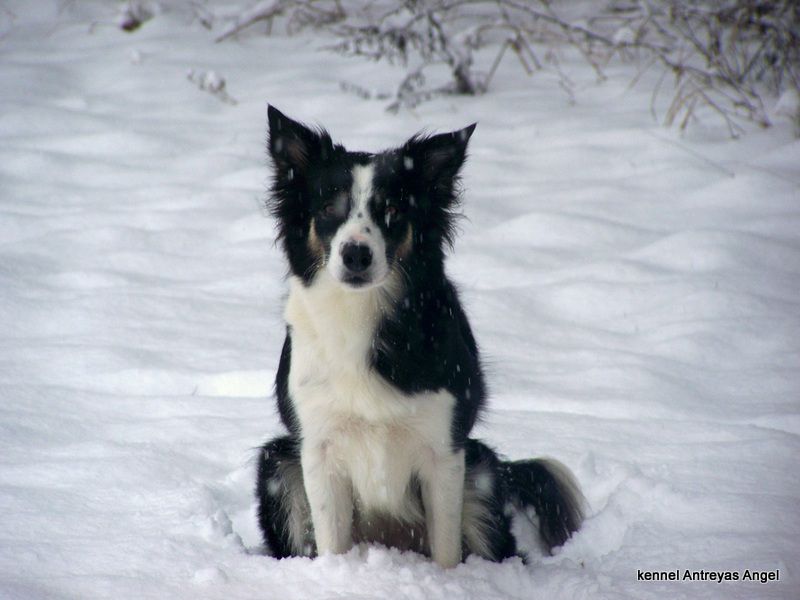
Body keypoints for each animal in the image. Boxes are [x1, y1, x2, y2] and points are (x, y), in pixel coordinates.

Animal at [260, 104, 584, 568]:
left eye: (393, 210)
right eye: (329, 208)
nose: (356, 254)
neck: (361, 312)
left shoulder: (444, 449)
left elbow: (447, 551)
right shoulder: (317, 446)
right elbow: (332, 543)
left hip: (482, 475)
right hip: (277, 461)